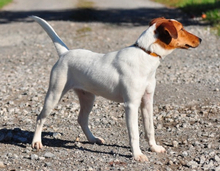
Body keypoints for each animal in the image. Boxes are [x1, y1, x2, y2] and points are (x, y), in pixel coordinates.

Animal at [30, 16, 201, 162]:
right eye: (181, 28)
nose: (200, 39)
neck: (145, 54)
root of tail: (65, 53)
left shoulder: (147, 101)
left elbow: (149, 129)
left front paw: (154, 148)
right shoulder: (131, 105)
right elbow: (134, 134)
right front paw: (137, 155)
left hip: (88, 98)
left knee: (82, 119)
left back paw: (93, 139)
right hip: (54, 94)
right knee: (40, 118)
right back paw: (36, 142)